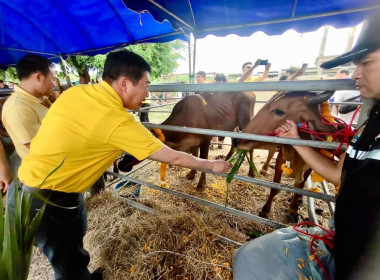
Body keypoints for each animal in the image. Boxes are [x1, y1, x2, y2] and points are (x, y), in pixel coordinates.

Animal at [238, 91, 338, 220]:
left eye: (279, 111)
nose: (238, 139)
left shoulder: (310, 167)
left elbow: (300, 187)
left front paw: (293, 208)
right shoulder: (281, 159)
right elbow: (275, 187)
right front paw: (265, 210)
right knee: (270, 152)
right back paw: (264, 169)